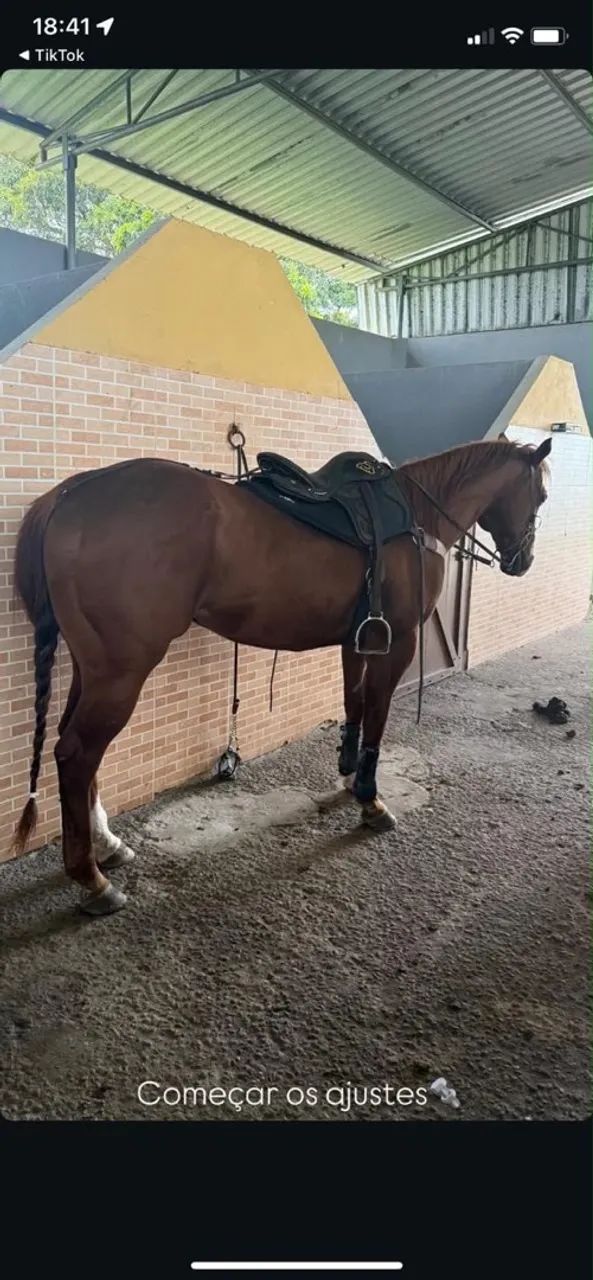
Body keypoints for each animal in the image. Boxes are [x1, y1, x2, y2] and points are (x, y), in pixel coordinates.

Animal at [11, 434, 551, 917]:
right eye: (541, 495)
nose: (523, 561)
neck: (417, 513)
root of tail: (70, 496)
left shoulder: (358, 640)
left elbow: (354, 706)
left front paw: (348, 775)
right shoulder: (398, 644)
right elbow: (377, 717)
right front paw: (371, 800)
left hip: (93, 668)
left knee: (72, 748)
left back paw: (107, 844)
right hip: (121, 673)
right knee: (77, 754)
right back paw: (92, 881)